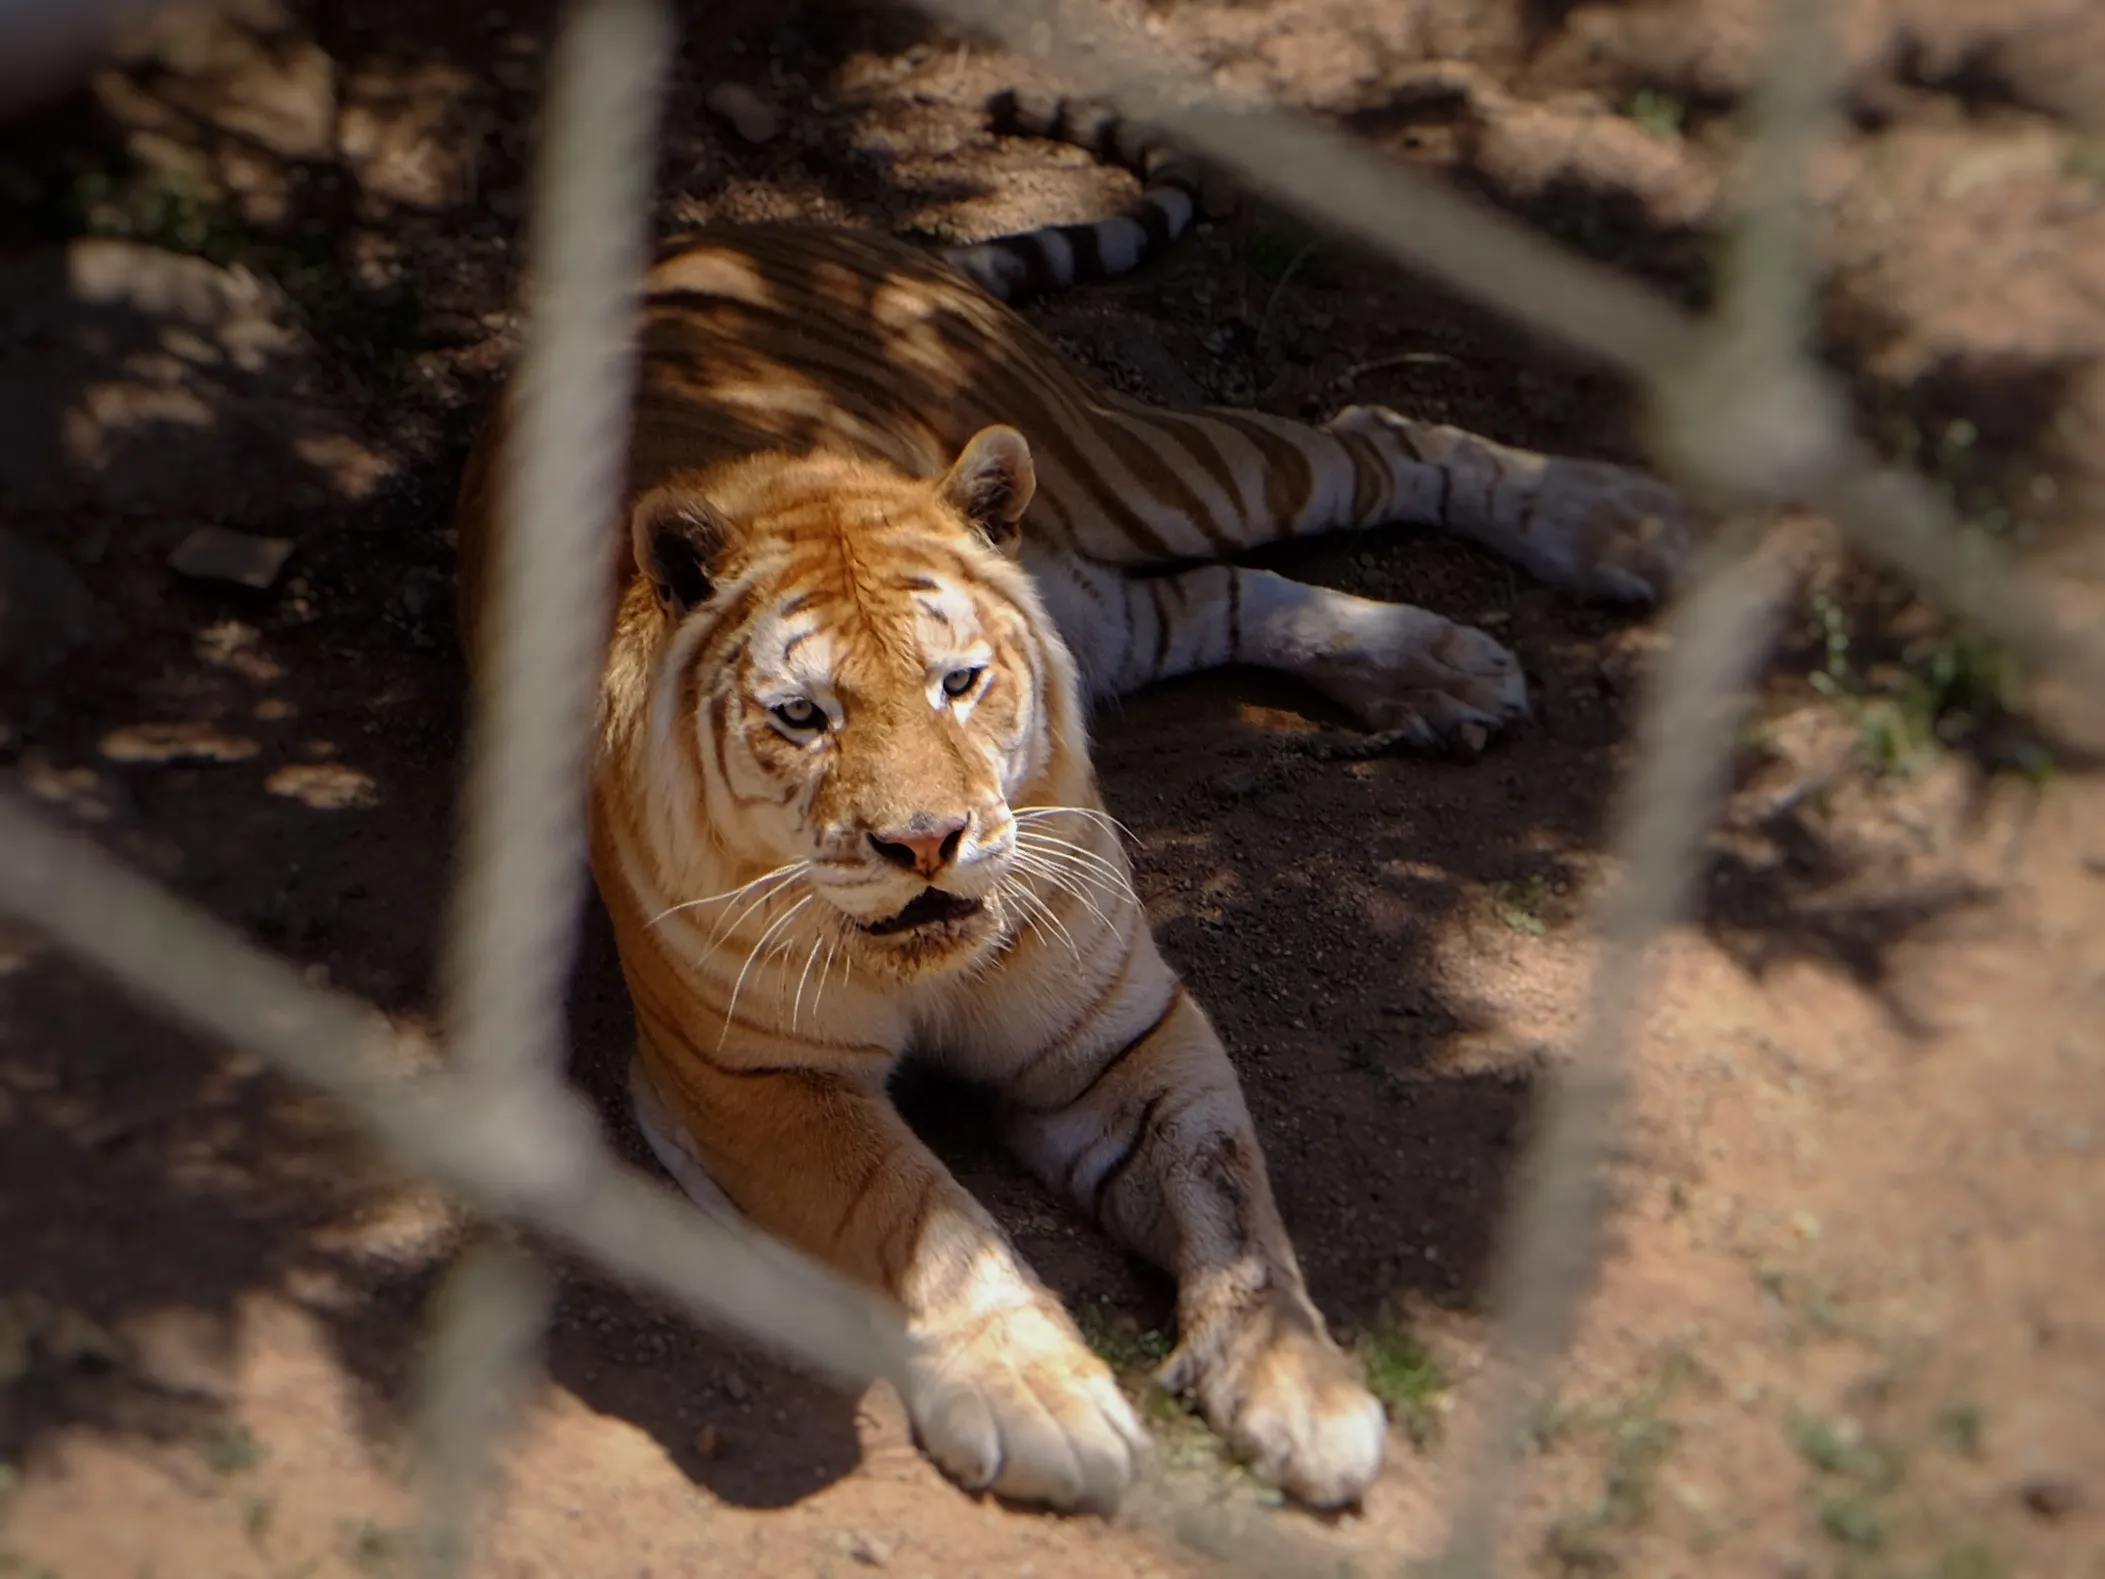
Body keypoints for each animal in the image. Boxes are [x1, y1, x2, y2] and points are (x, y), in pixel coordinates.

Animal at [452, 89, 1690, 1514]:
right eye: (803, 716)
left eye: (958, 682)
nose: (925, 841)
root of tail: (738, 236)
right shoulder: (754, 1078)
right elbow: (920, 1217)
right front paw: (1044, 1399)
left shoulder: (1124, 1033)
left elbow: (1233, 1200)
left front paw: (1302, 1390)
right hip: (1112, 586)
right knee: (1224, 589)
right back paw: (1445, 669)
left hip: (1149, 467)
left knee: (1378, 434)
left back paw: (1611, 528)